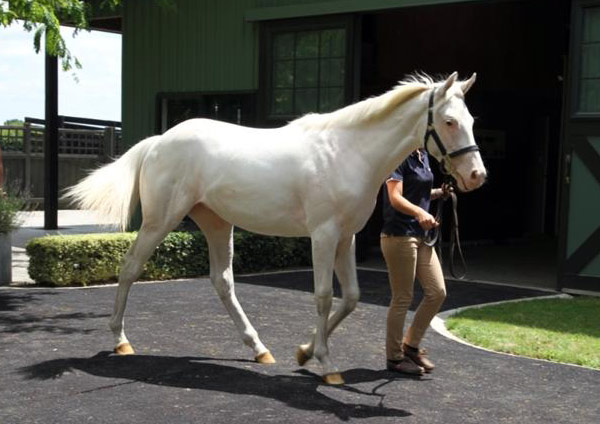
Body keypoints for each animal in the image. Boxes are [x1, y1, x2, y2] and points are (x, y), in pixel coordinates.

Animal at [67, 72, 488, 384]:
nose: (476, 176)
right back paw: (121, 341)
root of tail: (158, 142)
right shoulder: (323, 236)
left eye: (471, 121)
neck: (348, 152)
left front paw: (303, 353)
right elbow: (324, 297)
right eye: (449, 122)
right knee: (130, 268)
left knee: (222, 281)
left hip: (217, 223)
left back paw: (259, 349)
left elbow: (351, 297)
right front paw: (326, 365)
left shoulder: (346, 237)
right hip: (161, 221)